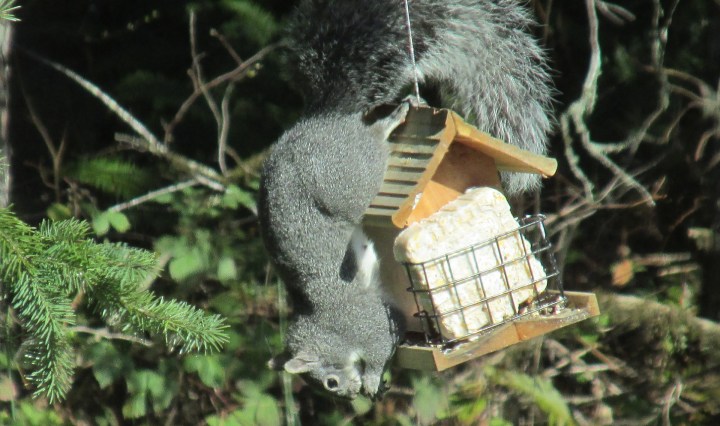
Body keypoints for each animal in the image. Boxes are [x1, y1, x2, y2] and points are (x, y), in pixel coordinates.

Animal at [259, 0, 554, 400]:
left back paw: (392, 120)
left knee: (370, 142)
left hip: (352, 175)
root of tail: (321, 117)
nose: (350, 396)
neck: (327, 325)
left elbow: (382, 344)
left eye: (330, 383)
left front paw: (372, 380)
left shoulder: (368, 322)